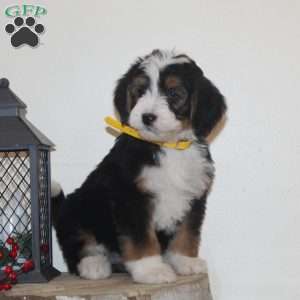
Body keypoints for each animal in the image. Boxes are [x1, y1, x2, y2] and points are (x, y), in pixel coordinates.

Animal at [52, 49, 225, 284]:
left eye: (173, 93)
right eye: (140, 91)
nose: (147, 117)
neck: (167, 146)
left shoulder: (194, 197)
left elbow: (187, 234)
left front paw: (185, 261)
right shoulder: (131, 197)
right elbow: (141, 239)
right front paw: (152, 270)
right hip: (77, 208)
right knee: (78, 244)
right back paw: (94, 265)